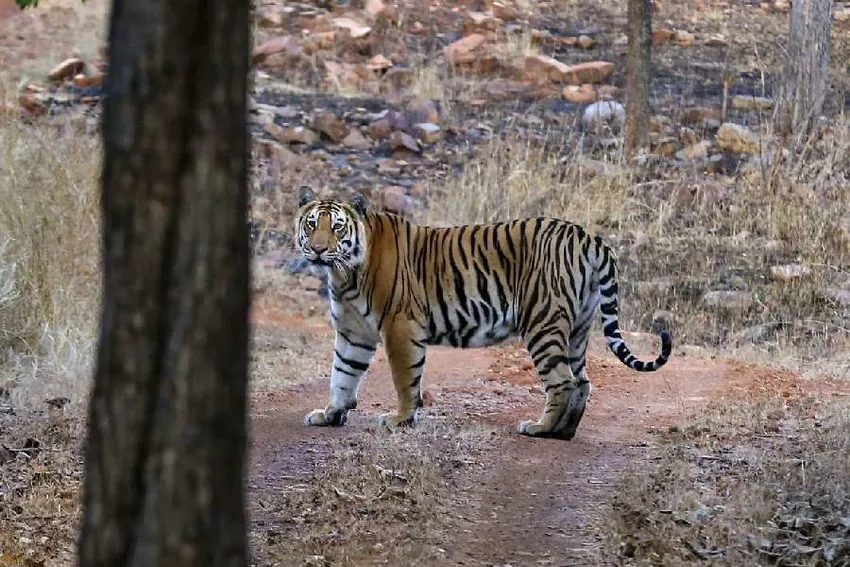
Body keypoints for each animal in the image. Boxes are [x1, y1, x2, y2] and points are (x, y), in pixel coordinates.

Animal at [294, 186, 672, 440]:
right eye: (312, 224)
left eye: (337, 227)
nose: (318, 250)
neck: (344, 274)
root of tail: (587, 236)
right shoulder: (352, 331)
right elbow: (342, 374)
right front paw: (330, 414)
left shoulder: (401, 325)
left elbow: (404, 379)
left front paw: (399, 419)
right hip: (578, 328)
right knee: (582, 381)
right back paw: (562, 432)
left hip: (543, 321)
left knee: (563, 381)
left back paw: (539, 428)